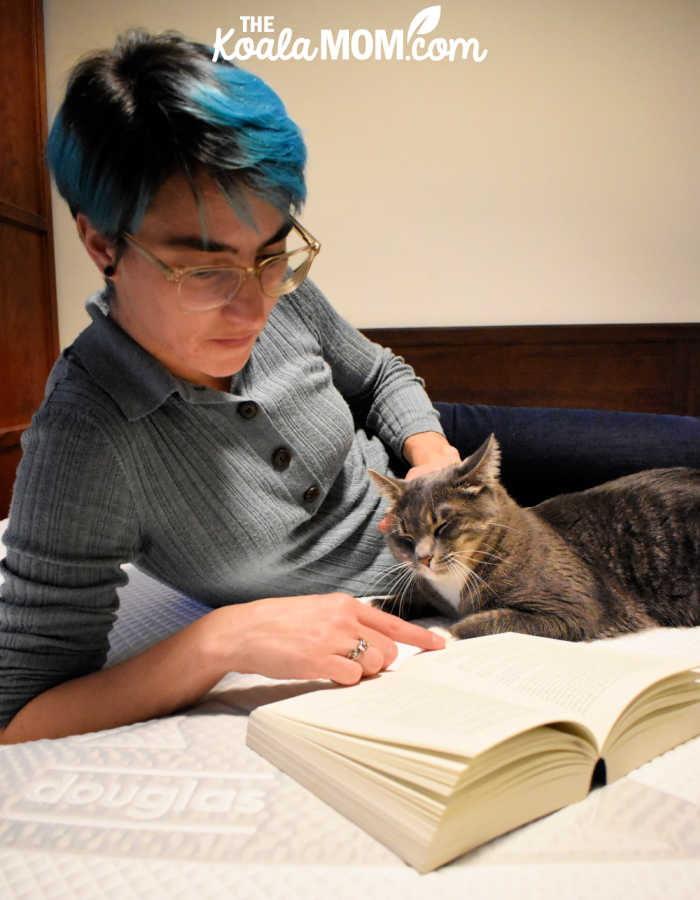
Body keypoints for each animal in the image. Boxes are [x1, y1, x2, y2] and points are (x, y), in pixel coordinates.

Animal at [370, 434, 696, 640]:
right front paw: (382, 604)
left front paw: (441, 631)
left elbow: (482, 622)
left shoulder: (575, 608)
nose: (423, 558)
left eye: (442, 525)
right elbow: (417, 598)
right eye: (405, 536)